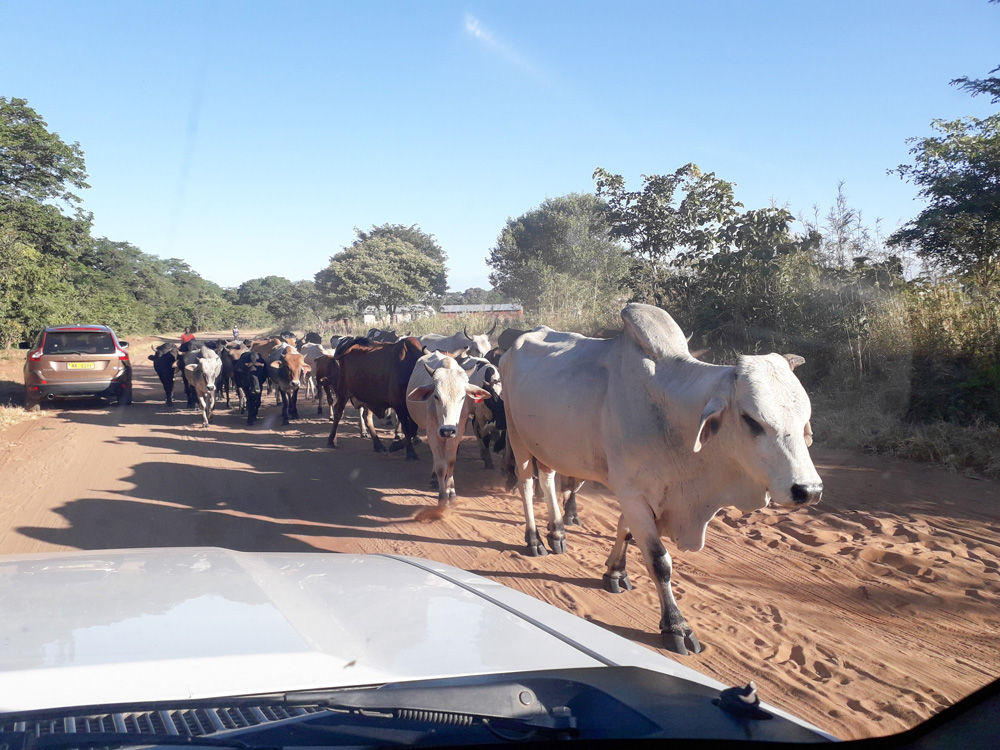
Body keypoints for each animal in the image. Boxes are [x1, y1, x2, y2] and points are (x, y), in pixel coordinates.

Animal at [406, 352, 489, 520]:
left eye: (463, 397)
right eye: (436, 396)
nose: (447, 430)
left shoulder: (458, 431)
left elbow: (450, 461)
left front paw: (451, 492)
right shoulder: (432, 432)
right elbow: (440, 466)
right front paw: (442, 498)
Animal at [500, 303, 822, 655]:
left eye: (804, 420)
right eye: (752, 420)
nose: (808, 490)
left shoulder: (639, 493)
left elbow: (625, 532)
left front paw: (615, 572)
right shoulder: (632, 493)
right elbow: (659, 560)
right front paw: (676, 626)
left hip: (544, 444)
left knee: (547, 478)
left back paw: (557, 532)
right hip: (517, 435)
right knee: (527, 485)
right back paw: (534, 539)